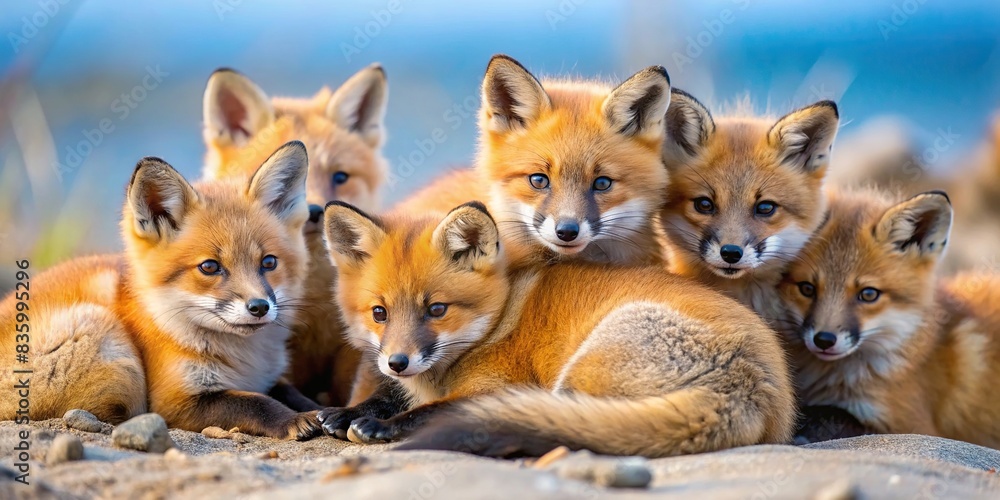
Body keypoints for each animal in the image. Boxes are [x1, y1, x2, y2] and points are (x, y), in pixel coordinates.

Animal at [0, 142, 323, 440]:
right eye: (209, 267)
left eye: (269, 262)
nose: (259, 307)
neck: (244, 361)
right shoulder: (176, 402)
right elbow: (256, 403)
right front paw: (294, 420)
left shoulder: (268, 377)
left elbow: (289, 393)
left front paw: (325, 412)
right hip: (107, 342)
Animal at [312, 201, 795, 457]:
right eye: (379, 313)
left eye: (436, 309)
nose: (397, 362)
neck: (495, 321)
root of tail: (750, 386)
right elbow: (387, 398)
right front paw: (345, 412)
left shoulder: (499, 385)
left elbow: (433, 409)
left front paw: (383, 425)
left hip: (577, 374)